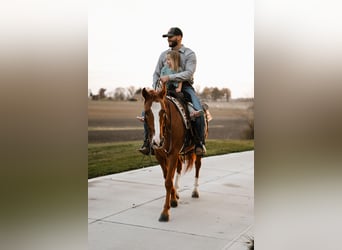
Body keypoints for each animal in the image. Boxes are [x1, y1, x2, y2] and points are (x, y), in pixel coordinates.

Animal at [141, 84, 208, 223]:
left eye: (163, 112)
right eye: (147, 112)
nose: (157, 141)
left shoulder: (172, 154)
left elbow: (168, 181)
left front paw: (165, 213)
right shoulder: (161, 155)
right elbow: (168, 177)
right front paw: (173, 199)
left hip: (196, 151)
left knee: (197, 167)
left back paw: (195, 191)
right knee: (179, 168)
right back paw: (176, 193)